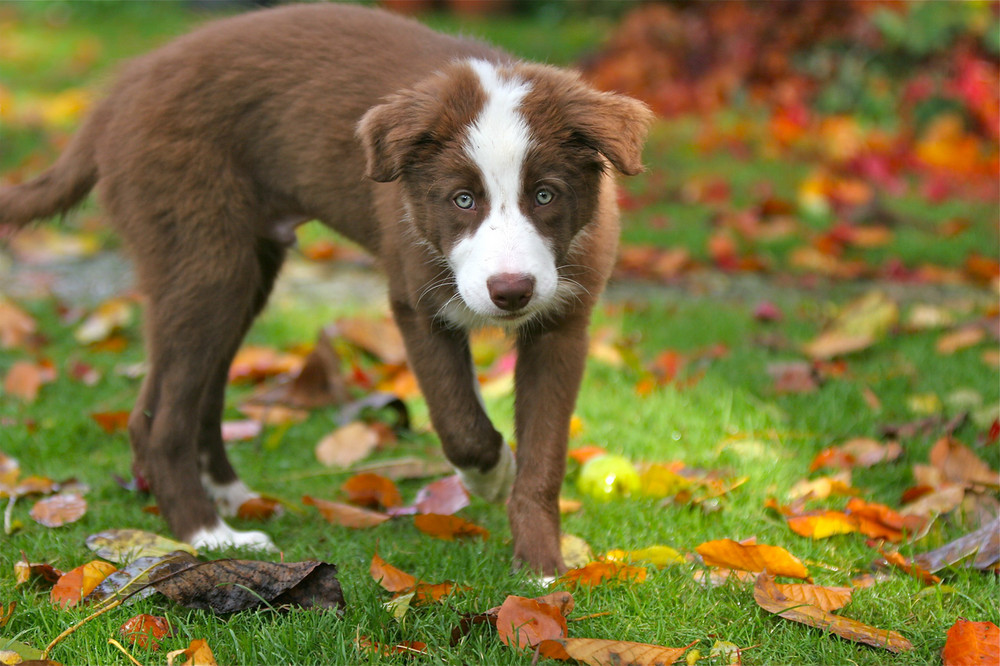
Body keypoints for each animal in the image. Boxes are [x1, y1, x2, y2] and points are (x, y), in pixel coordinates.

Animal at [0, 2, 652, 572]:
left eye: (545, 194)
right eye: (462, 200)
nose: (510, 292)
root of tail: (116, 95)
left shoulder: (564, 321)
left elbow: (546, 454)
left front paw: (541, 568)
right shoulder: (417, 301)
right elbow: (462, 425)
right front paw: (492, 477)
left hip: (241, 267)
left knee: (193, 393)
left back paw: (230, 497)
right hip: (203, 257)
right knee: (160, 420)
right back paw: (207, 534)